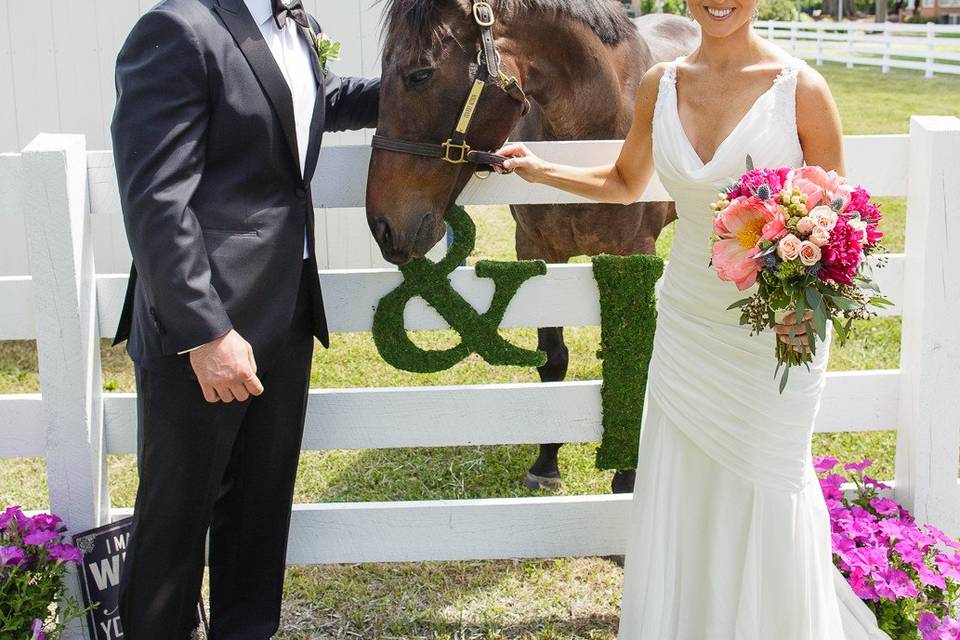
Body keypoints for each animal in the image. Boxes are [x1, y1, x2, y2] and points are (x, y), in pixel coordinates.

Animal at [368, 0, 696, 490]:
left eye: (420, 73)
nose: (383, 226)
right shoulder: (538, 251)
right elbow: (553, 360)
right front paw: (546, 464)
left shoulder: (634, 254)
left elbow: (632, 358)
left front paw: (627, 479)